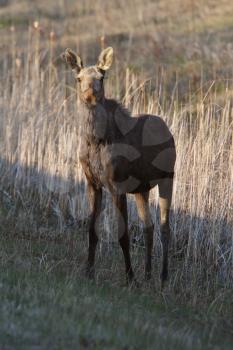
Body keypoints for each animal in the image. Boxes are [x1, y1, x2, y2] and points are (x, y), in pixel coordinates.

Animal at [62, 46, 176, 286]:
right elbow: (92, 230)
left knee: (165, 227)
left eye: (101, 77)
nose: (90, 97)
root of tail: (167, 129)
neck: (95, 141)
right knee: (149, 226)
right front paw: (88, 270)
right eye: (78, 78)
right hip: (142, 189)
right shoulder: (93, 183)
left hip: (168, 178)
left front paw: (130, 277)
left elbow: (122, 235)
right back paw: (148, 273)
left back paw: (162, 278)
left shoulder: (117, 185)